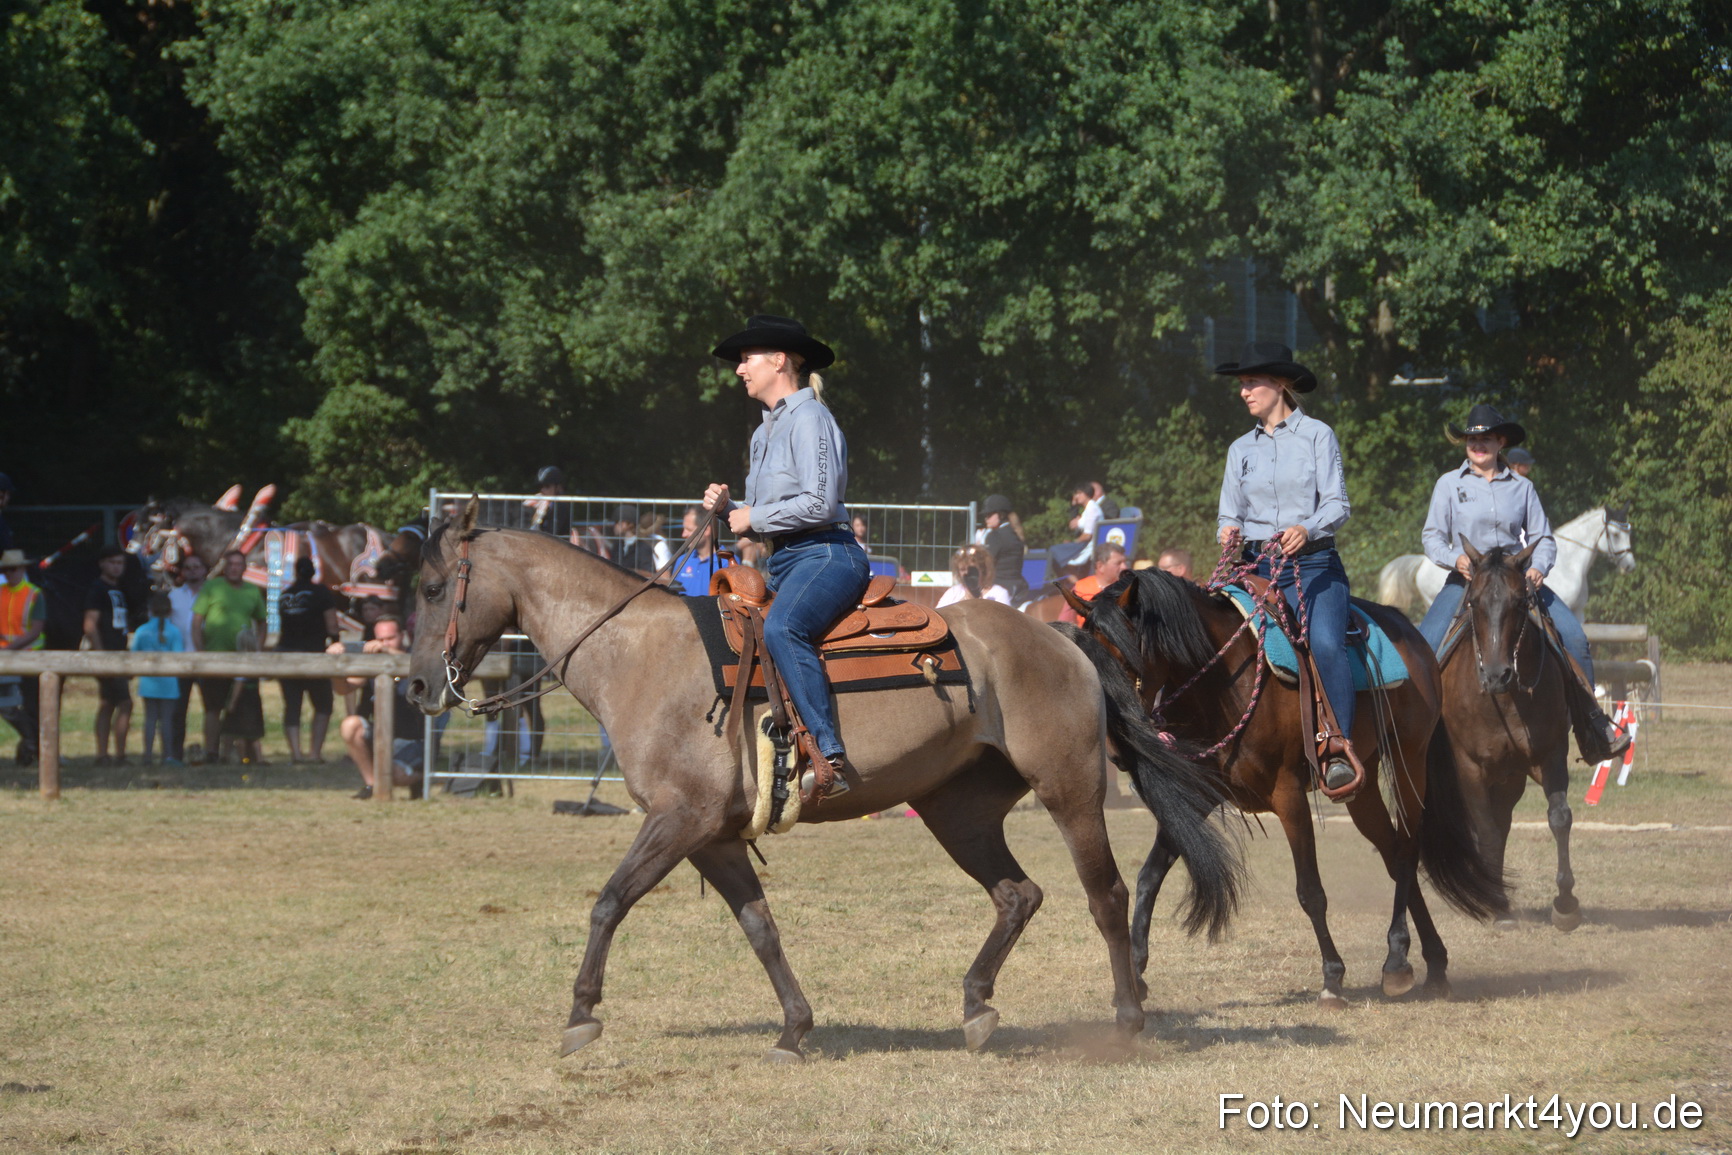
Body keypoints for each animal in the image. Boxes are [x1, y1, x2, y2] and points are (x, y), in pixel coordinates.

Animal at [403, 502, 1243, 1060]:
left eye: (434, 587)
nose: (415, 686)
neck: (641, 655)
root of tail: (1058, 635)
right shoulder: (711, 835)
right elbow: (760, 927)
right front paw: (794, 1026)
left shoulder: (678, 818)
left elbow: (610, 901)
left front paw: (581, 1013)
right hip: (957, 809)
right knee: (1017, 894)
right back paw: (976, 1005)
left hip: (1070, 791)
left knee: (1106, 896)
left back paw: (1127, 1016)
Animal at [1068, 566, 1506, 1007]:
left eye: (1123, 658)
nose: (1115, 753)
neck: (1224, 682)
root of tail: (1415, 637)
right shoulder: (1203, 794)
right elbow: (1149, 876)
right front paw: (1135, 974)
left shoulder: (1289, 796)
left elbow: (1310, 890)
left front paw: (1332, 977)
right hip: (1362, 788)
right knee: (1393, 852)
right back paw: (1433, 963)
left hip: (1408, 762)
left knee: (1407, 851)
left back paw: (1397, 959)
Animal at [1377, 507, 1635, 617]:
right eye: (1614, 534)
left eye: (1628, 532)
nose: (1630, 566)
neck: (1570, 563)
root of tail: (1421, 562)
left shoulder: (1578, 611)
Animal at [1435, 541, 1580, 932]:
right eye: (1474, 601)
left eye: (1520, 601)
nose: (1497, 674)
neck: (1503, 699)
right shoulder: (1468, 767)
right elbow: (1484, 831)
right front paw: (1497, 907)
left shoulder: (1551, 754)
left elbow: (1559, 817)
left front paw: (1565, 904)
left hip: (1509, 779)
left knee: (1502, 826)